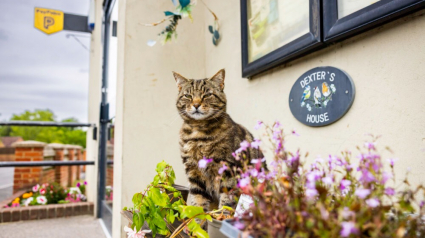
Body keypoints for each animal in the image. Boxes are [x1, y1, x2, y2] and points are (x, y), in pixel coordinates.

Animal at [171, 69, 258, 212]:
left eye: (207, 94)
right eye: (188, 95)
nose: (196, 104)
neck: (198, 134)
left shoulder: (228, 169)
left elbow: (227, 199)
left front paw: (223, 213)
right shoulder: (194, 172)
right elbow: (198, 199)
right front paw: (197, 217)